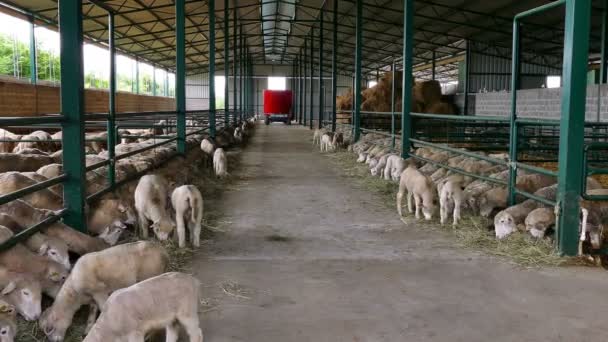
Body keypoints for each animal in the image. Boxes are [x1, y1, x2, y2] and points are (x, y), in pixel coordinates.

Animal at [39, 240, 169, 342]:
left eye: (50, 329)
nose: (56, 340)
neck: (75, 294)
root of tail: (162, 250)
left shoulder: (99, 292)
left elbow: (103, 307)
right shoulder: (92, 298)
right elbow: (92, 312)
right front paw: (88, 329)